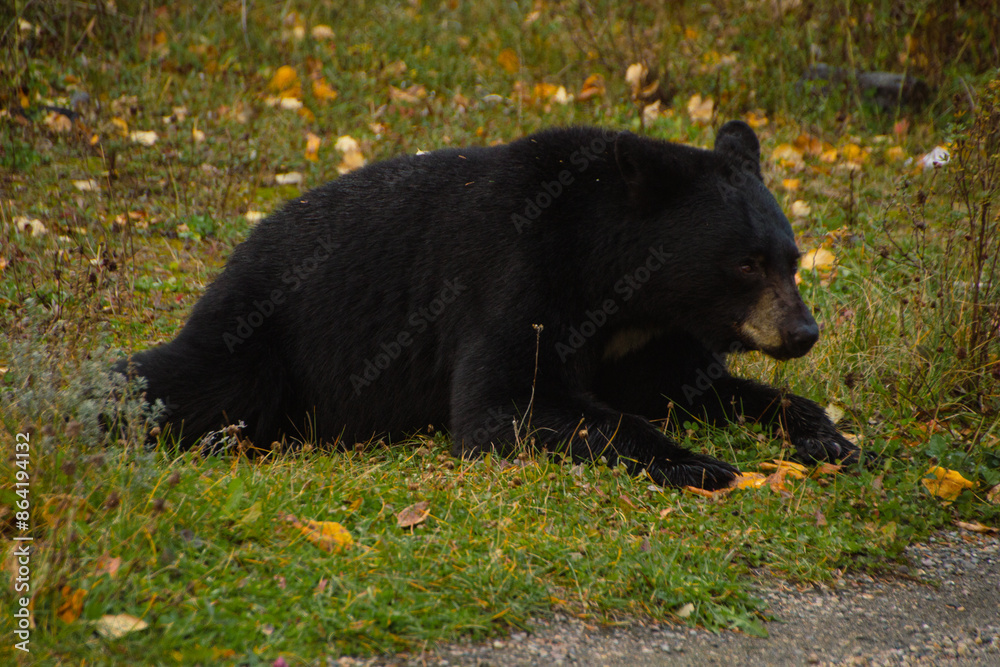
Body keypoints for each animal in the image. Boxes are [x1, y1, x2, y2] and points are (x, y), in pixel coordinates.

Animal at [116, 120, 860, 490]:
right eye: (745, 262)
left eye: (792, 258)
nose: (802, 331)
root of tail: (238, 251)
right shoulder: (517, 274)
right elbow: (504, 400)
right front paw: (700, 463)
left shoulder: (650, 335)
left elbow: (699, 384)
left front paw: (832, 437)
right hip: (257, 338)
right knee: (185, 383)